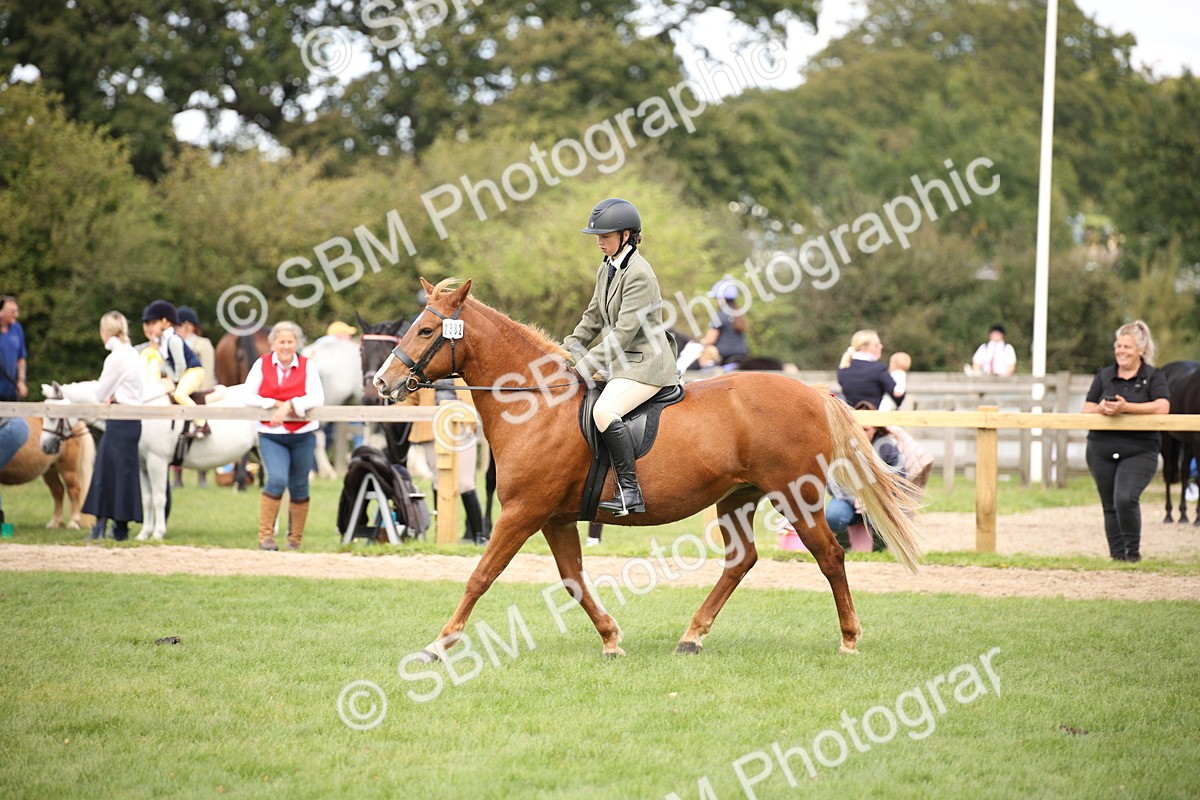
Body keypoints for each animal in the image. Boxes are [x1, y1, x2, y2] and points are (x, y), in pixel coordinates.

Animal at [46, 381, 258, 539]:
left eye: (52, 416)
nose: (45, 446)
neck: (141, 414)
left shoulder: (157, 462)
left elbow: (158, 498)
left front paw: (158, 533)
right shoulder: (143, 465)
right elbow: (147, 499)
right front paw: (144, 533)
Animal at [373, 278, 922, 659]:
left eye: (426, 330)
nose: (381, 381)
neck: (537, 405)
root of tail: (812, 391)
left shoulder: (521, 513)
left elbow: (480, 576)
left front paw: (440, 644)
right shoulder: (552, 517)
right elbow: (572, 579)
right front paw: (612, 639)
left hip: (794, 495)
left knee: (830, 556)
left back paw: (849, 640)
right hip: (737, 497)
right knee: (740, 560)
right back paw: (692, 637)